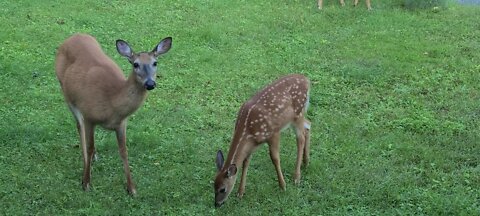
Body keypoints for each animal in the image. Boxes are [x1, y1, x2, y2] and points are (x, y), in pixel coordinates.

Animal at [55, 33, 172, 195]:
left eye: (155, 62)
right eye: (135, 64)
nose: (150, 84)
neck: (112, 102)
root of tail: (75, 35)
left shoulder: (121, 124)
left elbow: (124, 151)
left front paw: (131, 188)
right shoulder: (89, 116)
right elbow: (90, 146)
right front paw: (86, 182)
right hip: (67, 94)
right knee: (79, 127)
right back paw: (86, 162)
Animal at [214, 74, 312, 208]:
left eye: (222, 189)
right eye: (213, 185)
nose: (216, 204)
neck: (248, 131)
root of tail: (306, 80)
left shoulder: (274, 133)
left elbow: (275, 158)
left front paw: (283, 186)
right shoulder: (251, 145)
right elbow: (245, 162)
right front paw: (240, 192)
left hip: (297, 114)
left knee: (301, 138)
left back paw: (296, 177)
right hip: (298, 116)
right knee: (308, 125)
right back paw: (306, 162)